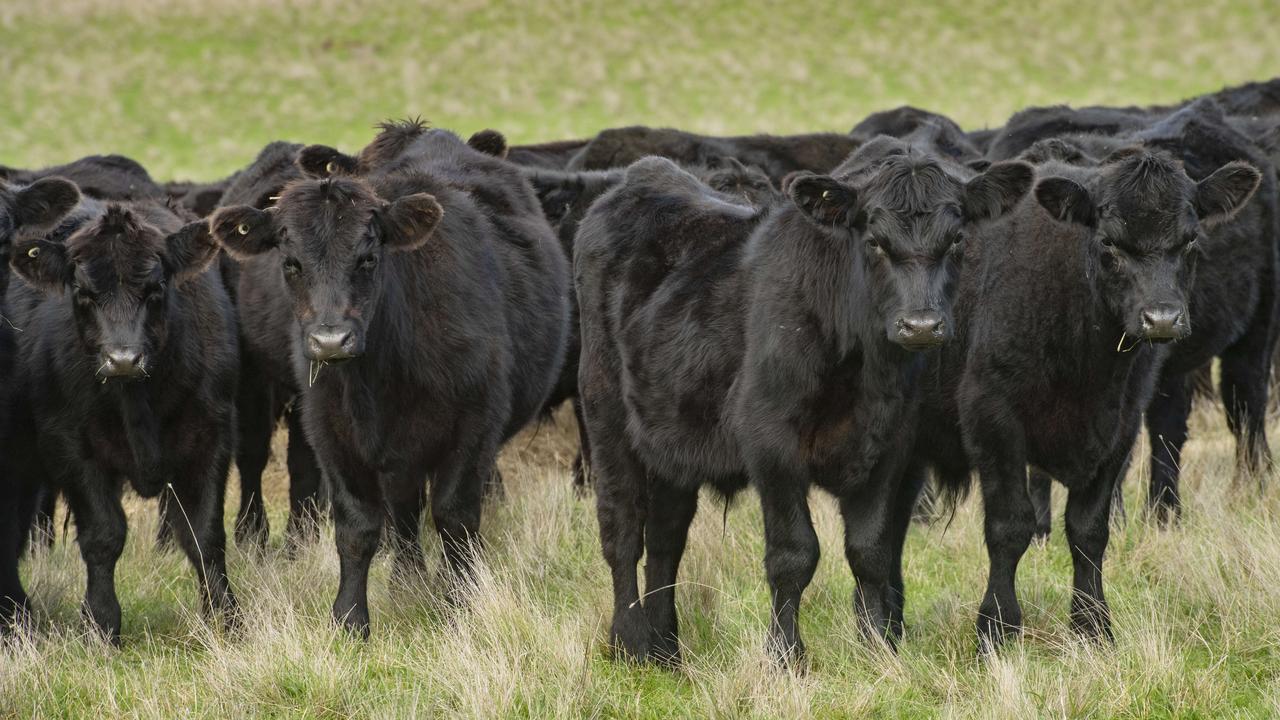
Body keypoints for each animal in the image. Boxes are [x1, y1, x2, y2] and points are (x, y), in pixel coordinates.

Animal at [5, 183, 239, 638]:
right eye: (82, 292)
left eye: (157, 287)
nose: (123, 359)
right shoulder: (70, 445)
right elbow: (104, 534)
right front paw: (100, 622)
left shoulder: (212, 435)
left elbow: (204, 534)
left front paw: (225, 617)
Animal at [212, 121, 568, 632]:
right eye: (290, 262)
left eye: (368, 257)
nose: (331, 340)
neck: (380, 378)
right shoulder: (329, 430)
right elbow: (357, 525)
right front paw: (349, 619)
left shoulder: (475, 423)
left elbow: (455, 515)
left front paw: (460, 601)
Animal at [576, 137, 1034, 666]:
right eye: (874, 240)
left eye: (957, 239)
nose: (921, 325)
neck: (860, 367)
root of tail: (643, 175)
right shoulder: (771, 443)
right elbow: (794, 554)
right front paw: (785, 655)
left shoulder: (891, 444)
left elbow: (871, 551)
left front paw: (878, 647)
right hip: (605, 414)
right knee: (623, 529)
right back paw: (629, 640)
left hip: (671, 436)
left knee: (667, 536)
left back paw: (664, 647)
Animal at [911, 146, 1259, 650]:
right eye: (1109, 243)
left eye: (1190, 240)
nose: (1161, 318)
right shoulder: (992, 419)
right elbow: (1010, 526)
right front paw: (997, 627)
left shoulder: (1121, 427)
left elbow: (1089, 530)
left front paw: (1093, 626)